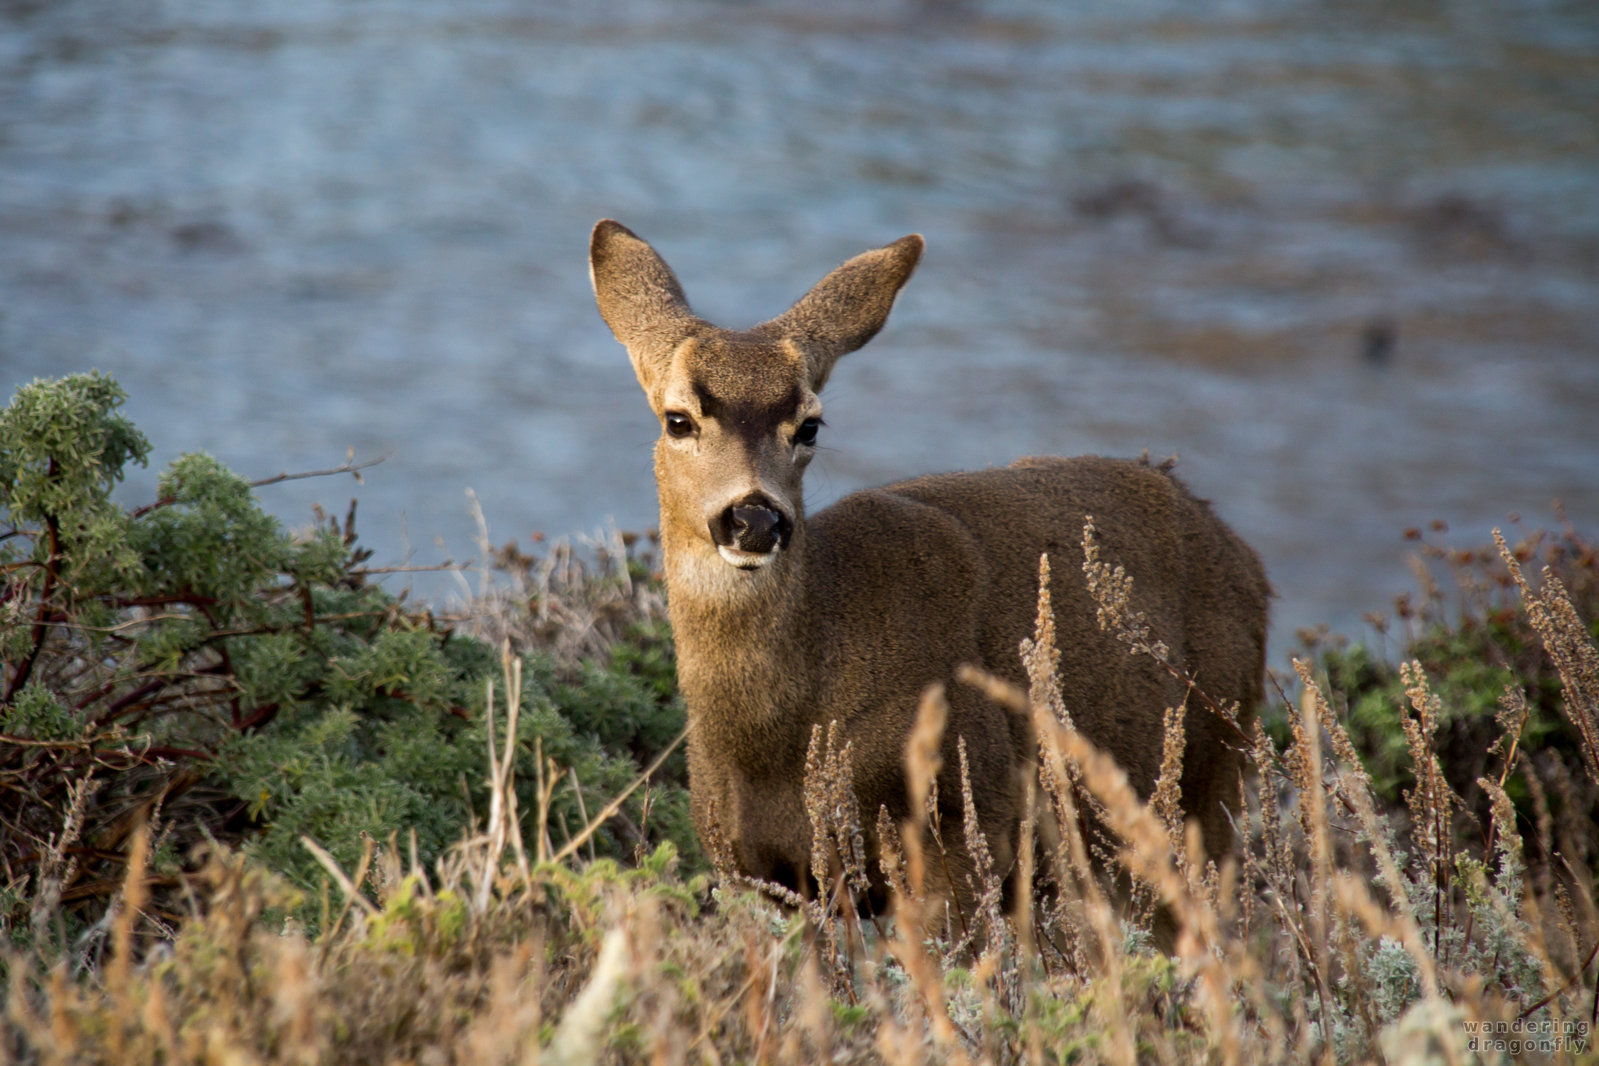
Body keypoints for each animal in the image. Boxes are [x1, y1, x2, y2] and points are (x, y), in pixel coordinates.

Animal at [582, 220, 1266, 920]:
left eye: (810, 425)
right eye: (678, 419)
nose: (754, 519)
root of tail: (1241, 554)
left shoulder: (971, 821)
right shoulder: (747, 862)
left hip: (1212, 776)